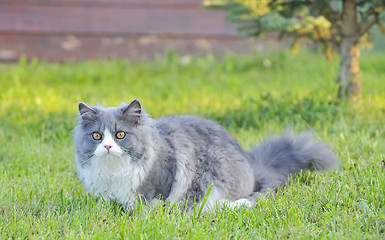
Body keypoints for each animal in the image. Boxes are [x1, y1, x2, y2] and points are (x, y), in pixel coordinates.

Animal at [73, 98, 338, 211]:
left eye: (120, 135)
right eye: (97, 136)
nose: (108, 147)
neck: (114, 171)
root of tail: (253, 168)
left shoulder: (160, 185)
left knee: (252, 197)